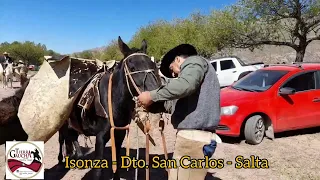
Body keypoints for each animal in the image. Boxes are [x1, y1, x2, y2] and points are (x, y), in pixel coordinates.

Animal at [57, 36, 162, 180]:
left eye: (153, 66)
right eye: (132, 67)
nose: (156, 100)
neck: (112, 101)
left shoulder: (119, 134)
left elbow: (116, 163)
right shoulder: (101, 137)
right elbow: (98, 171)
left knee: (72, 137)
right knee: (62, 139)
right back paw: (62, 159)